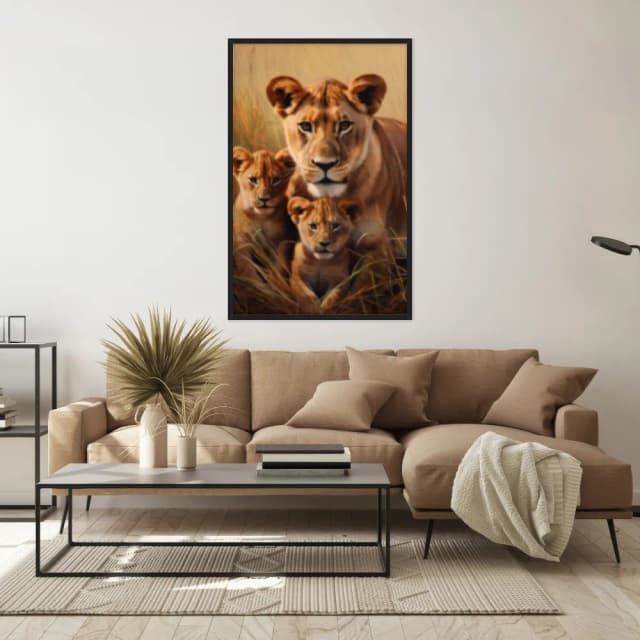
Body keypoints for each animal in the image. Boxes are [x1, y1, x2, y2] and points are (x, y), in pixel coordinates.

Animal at [232, 146, 297, 277]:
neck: (261, 217)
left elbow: (278, 268)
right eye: (253, 180)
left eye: (276, 180)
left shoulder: (281, 241)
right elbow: (248, 270)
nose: (264, 199)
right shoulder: (242, 243)